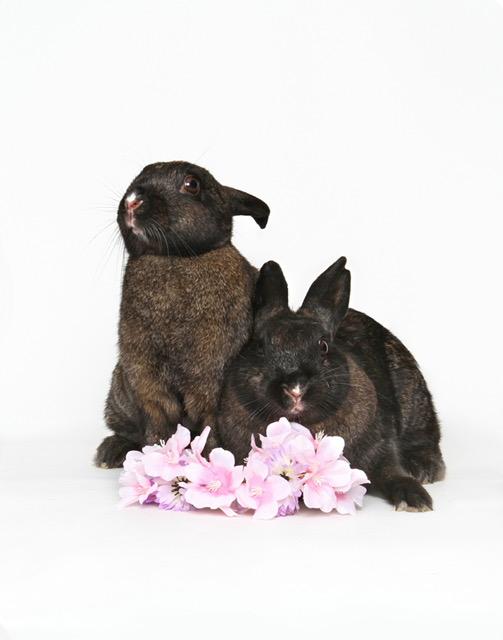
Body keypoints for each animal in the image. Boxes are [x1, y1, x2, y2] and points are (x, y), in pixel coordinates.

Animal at [95, 161, 270, 468]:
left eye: (192, 184)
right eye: (140, 173)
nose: (132, 201)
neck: (176, 257)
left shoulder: (210, 380)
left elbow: (209, 423)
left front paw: (211, 460)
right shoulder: (145, 379)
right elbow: (157, 422)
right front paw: (155, 456)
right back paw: (111, 452)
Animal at [217, 257, 445, 511]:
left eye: (323, 346)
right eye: (260, 346)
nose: (295, 389)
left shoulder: (381, 444)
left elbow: (391, 470)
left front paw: (414, 499)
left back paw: (423, 469)